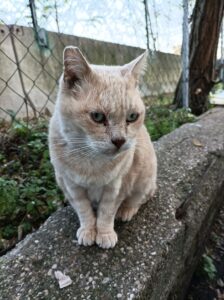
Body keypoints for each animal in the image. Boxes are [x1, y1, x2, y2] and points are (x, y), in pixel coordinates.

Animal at [48, 46, 158, 248]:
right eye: (97, 117)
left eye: (132, 117)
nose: (120, 140)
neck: (92, 161)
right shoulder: (72, 185)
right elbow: (84, 210)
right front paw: (88, 230)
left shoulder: (117, 186)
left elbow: (107, 212)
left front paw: (105, 233)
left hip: (145, 178)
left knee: (139, 199)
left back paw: (126, 211)